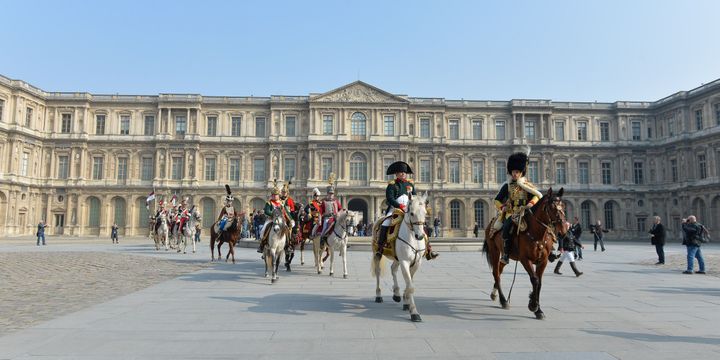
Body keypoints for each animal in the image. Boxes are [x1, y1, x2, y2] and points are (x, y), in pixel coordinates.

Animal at [372, 193, 428, 322]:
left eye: (425, 213)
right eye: (411, 213)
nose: (420, 236)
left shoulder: (416, 262)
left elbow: (409, 283)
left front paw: (406, 302)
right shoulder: (405, 261)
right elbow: (410, 286)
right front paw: (414, 313)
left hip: (396, 257)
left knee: (393, 269)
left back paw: (396, 294)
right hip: (377, 253)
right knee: (378, 272)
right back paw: (378, 295)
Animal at [480, 187, 564, 320]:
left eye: (563, 205)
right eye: (552, 207)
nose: (563, 229)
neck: (537, 234)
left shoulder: (543, 261)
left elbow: (539, 283)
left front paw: (538, 309)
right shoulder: (525, 260)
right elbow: (535, 280)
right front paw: (533, 306)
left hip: (505, 255)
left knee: (499, 269)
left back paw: (494, 294)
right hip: (494, 251)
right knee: (496, 273)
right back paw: (503, 300)